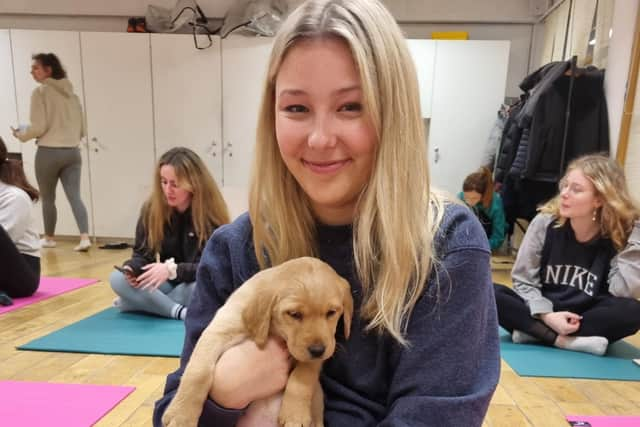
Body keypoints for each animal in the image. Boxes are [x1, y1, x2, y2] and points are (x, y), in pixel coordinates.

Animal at [162, 258, 352, 427]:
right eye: (294, 314)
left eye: (331, 312)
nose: (318, 350)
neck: (275, 331)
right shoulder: (218, 331)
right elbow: (198, 372)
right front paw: (181, 415)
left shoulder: (322, 349)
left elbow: (302, 378)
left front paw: (294, 415)